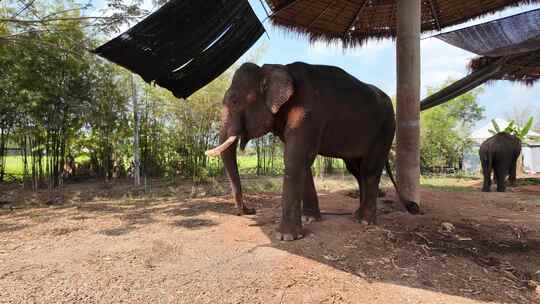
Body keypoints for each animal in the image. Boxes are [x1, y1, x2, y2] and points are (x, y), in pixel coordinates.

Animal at [205, 61, 420, 241]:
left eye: (234, 101)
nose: (250, 210)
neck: (277, 67)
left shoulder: (308, 114)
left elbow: (295, 159)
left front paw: (286, 237)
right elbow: (302, 162)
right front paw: (310, 219)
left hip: (386, 128)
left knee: (369, 170)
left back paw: (365, 221)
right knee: (357, 170)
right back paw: (357, 215)